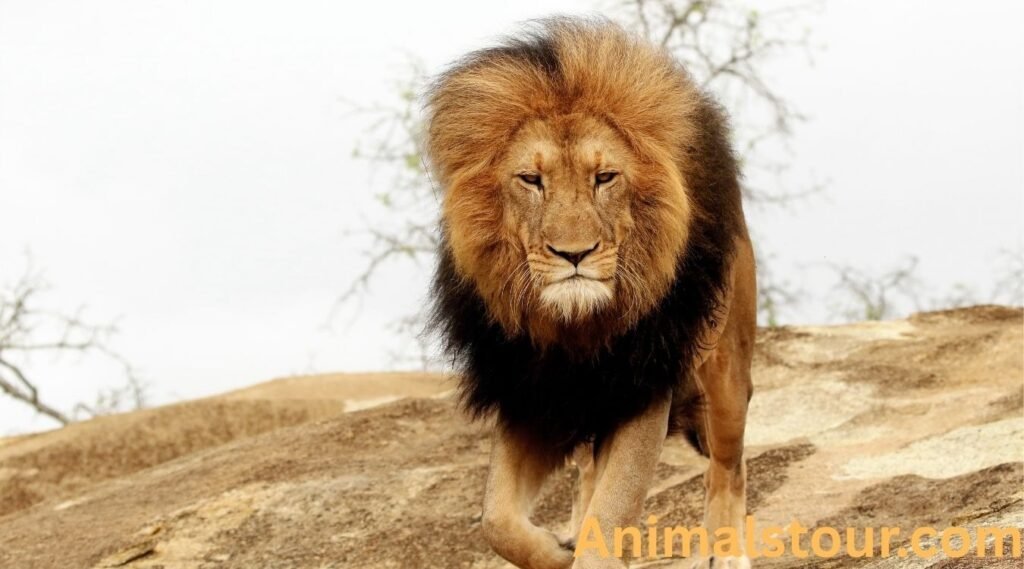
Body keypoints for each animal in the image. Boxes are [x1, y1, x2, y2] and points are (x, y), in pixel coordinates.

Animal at [425, 18, 756, 569]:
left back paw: (725, 553)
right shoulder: (531, 393)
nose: (573, 253)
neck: (576, 328)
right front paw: (557, 552)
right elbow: (497, 520)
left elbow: (613, 508)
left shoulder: (643, 388)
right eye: (531, 180)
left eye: (605, 178)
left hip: (726, 367)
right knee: (585, 476)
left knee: (727, 466)